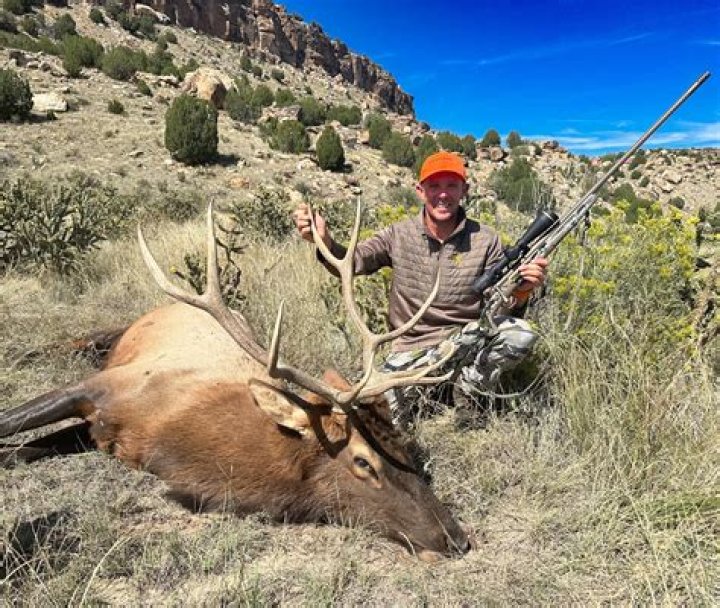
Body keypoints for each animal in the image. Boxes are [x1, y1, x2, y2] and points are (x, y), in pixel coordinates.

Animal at [0, 203, 472, 561]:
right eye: (363, 462)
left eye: (406, 448)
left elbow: (23, 452)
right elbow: (10, 421)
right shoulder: (104, 387)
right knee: (89, 337)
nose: (457, 538)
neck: (168, 439)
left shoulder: (100, 431)